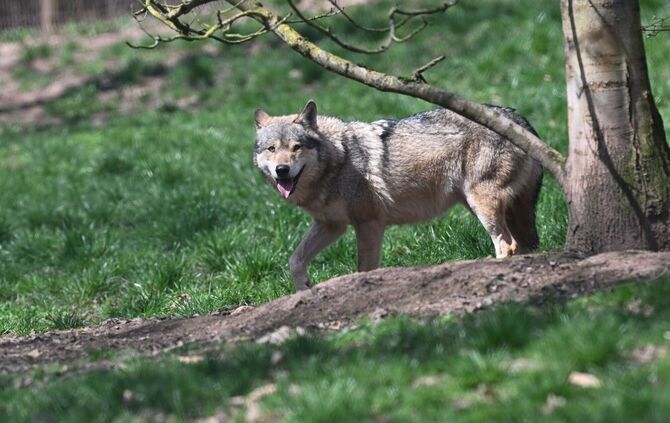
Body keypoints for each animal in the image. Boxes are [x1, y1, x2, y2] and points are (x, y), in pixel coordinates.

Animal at [253, 100, 543, 290]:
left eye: (296, 147)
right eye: (271, 149)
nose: (282, 170)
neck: (338, 159)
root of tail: (521, 122)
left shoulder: (368, 223)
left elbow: (364, 268)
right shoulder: (331, 225)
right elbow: (295, 260)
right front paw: (304, 289)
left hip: (481, 205)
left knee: (506, 245)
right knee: (521, 245)